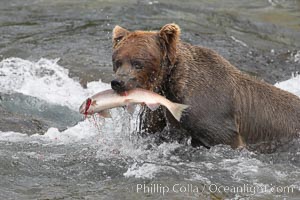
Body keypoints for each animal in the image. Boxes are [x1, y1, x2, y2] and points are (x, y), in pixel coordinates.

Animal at [110, 23, 300, 152]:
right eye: (118, 61)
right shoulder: (160, 115)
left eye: (138, 63)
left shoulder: (213, 115)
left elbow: (225, 138)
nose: (118, 82)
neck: (168, 86)